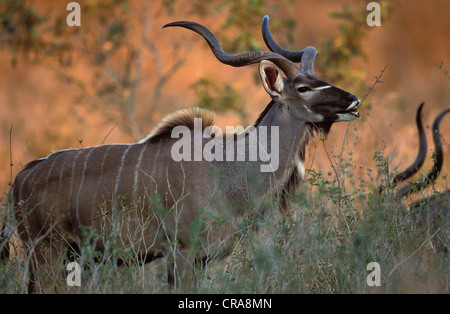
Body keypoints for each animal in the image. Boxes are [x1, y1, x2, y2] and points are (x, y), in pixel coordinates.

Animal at [3, 15, 360, 290]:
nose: (353, 100)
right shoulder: (181, 253)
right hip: (47, 252)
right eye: (303, 88)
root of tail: (21, 178)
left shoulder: (201, 259)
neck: (228, 168)